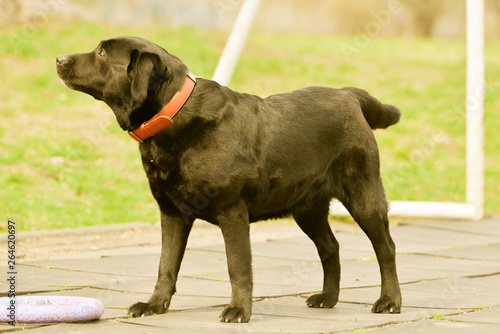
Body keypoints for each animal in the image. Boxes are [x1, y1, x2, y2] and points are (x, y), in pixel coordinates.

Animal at [55, 37, 402, 324]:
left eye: (101, 53)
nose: (58, 58)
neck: (173, 114)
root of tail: (348, 94)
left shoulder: (232, 211)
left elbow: (238, 267)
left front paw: (238, 310)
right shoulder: (171, 212)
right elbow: (166, 265)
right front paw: (154, 305)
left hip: (363, 195)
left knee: (385, 247)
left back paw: (389, 301)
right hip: (306, 207)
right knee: (331, 247)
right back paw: (328, 298)